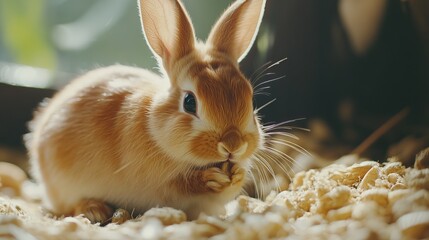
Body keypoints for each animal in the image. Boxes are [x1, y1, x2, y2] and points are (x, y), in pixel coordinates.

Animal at [25, 0, 266, 222]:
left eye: (251, 99)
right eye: (189, 102)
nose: (233, 145)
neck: (154, 127)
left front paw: (236, 175)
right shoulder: (160, 181)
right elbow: (183, 185)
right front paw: (212, 178)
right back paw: (94, 210)